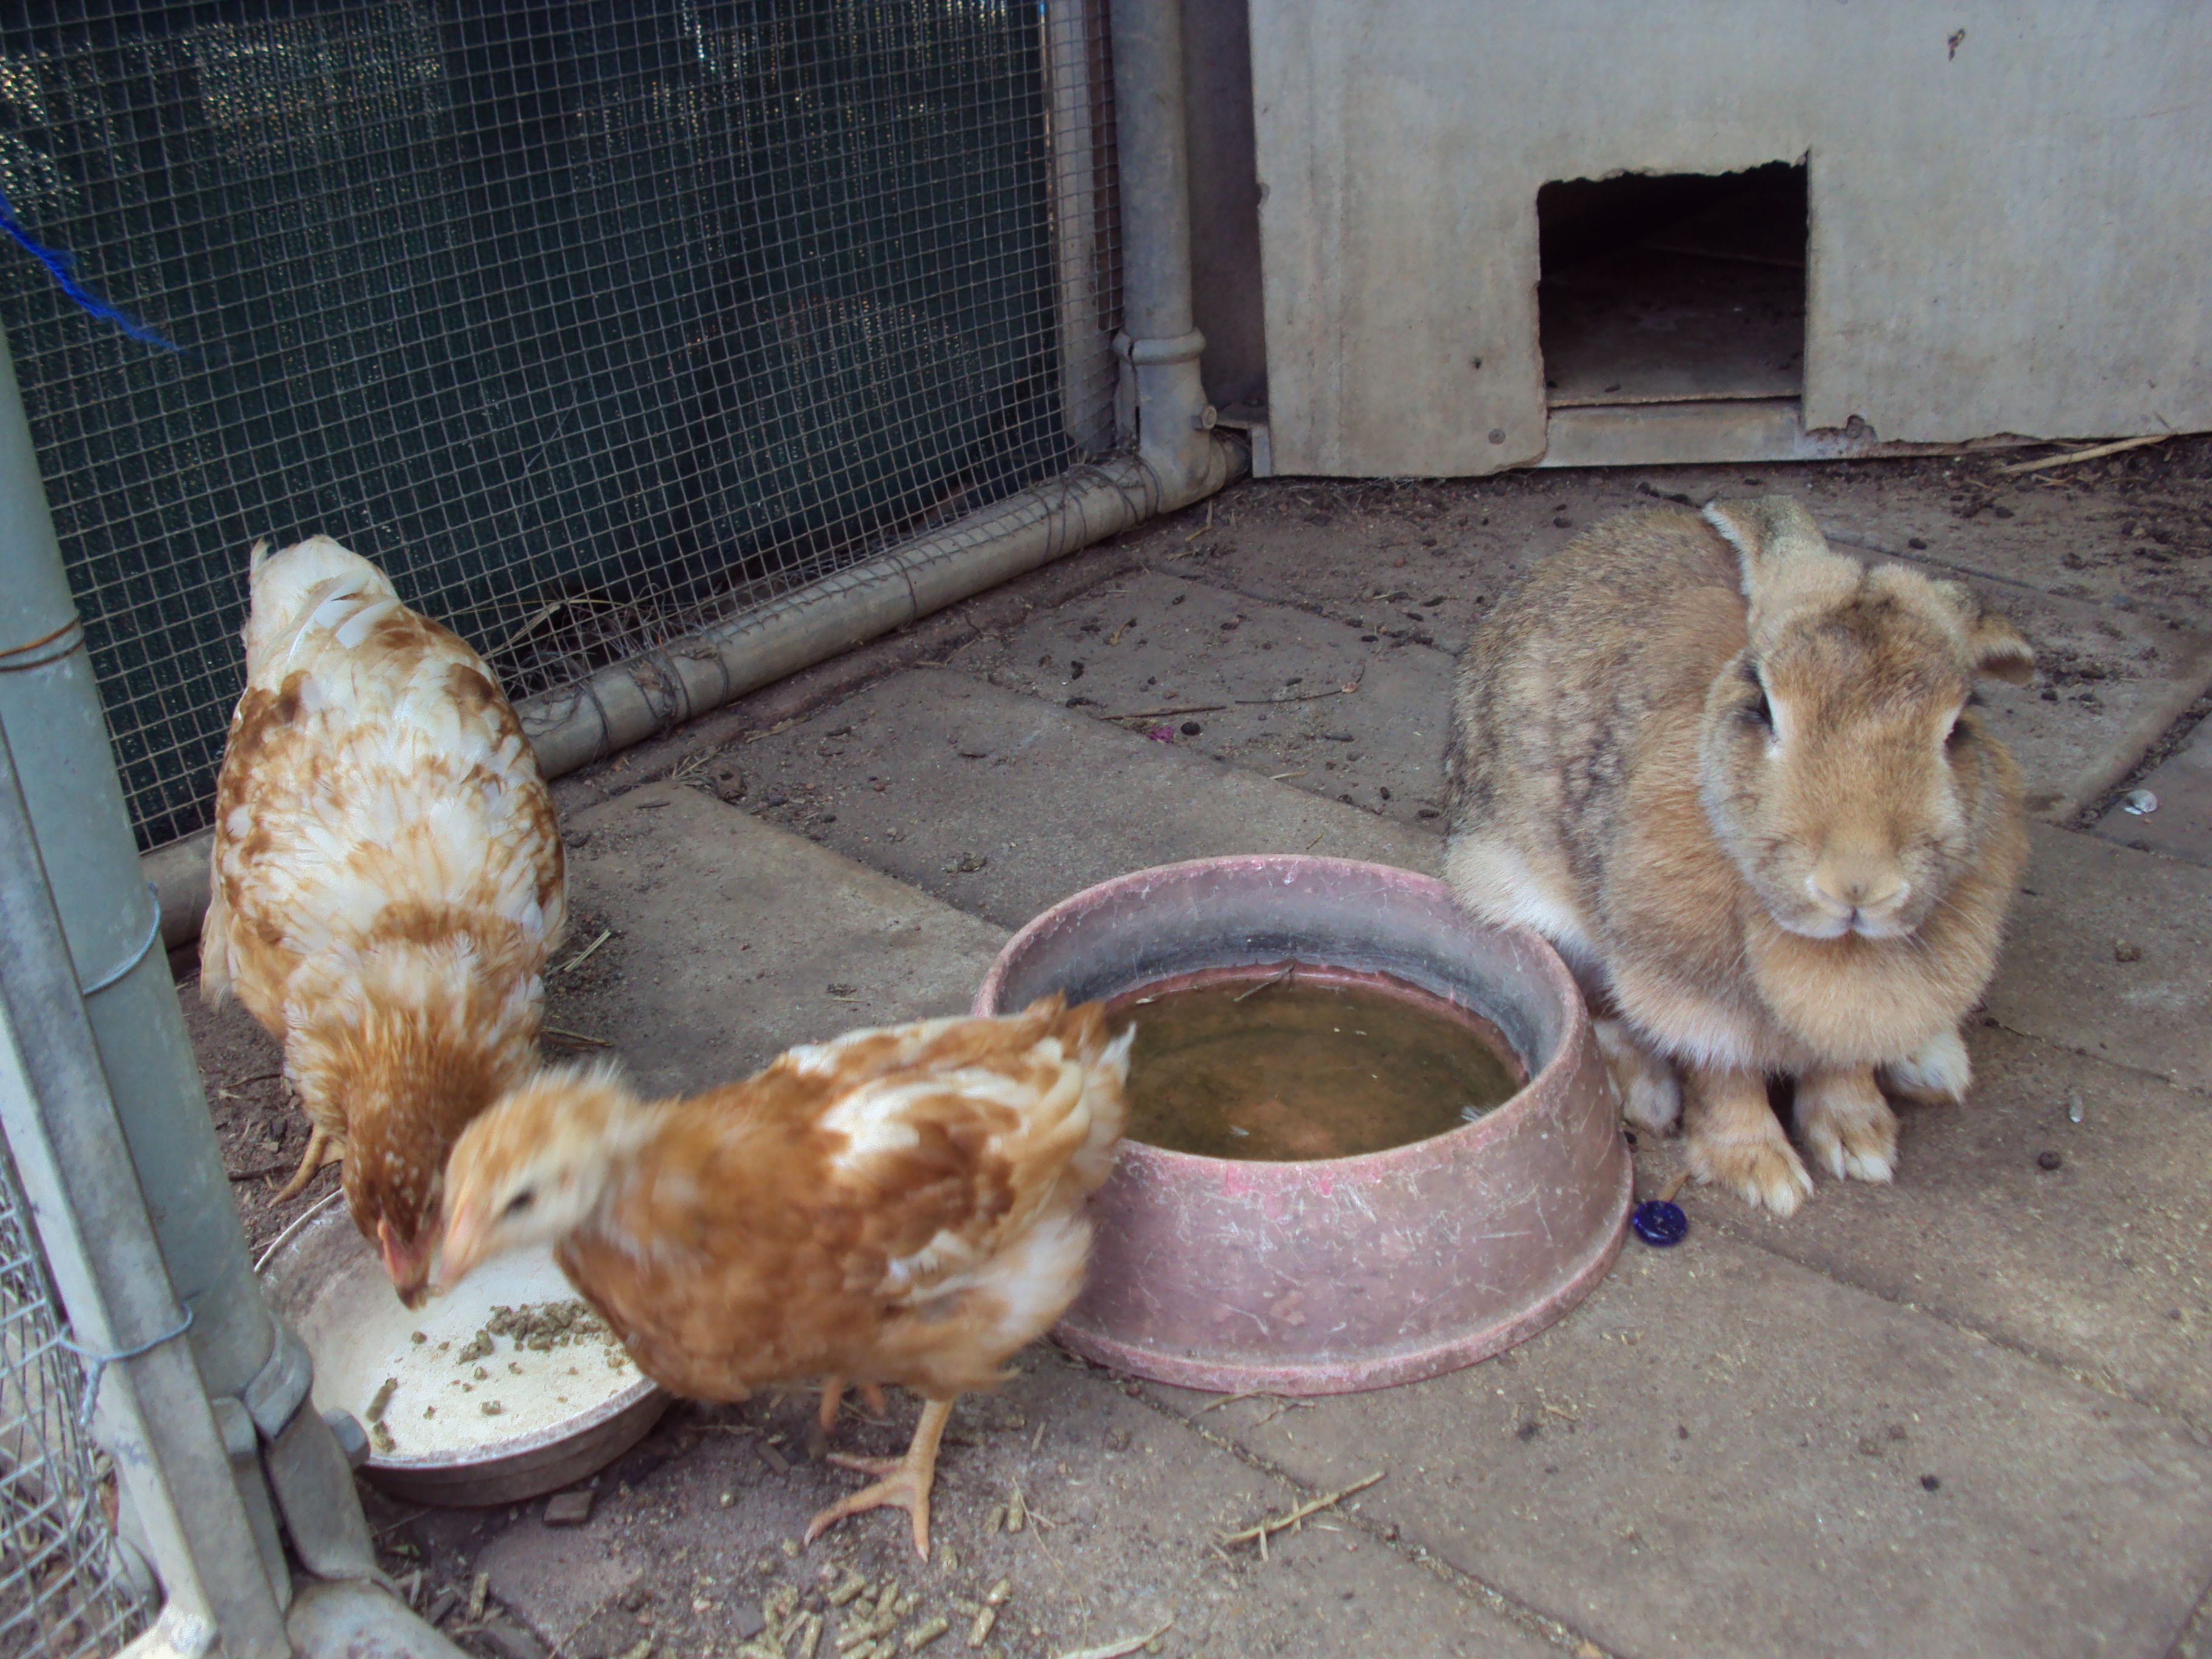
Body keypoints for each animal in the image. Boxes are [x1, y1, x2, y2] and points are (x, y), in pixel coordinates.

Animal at [1442, 495, 2034, 1216]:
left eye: (1956, 729)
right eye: (1765, 708)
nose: (1858, 884)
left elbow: (1844, 1061)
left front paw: (1860, 1141)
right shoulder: (1687, 986)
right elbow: (1723, 1074)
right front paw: (1763, 1173)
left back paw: (1932, 1067)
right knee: (1596, 1010)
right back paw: (1646, 1096)